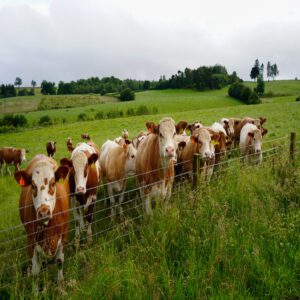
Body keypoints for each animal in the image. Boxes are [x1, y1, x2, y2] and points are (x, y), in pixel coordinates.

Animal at [14, 155, 69, 284]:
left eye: (53, 183)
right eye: (33, 186)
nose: (44, 212)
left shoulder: (64, 234)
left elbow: (60, 261)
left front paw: (61, 283)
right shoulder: (30, 240)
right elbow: (35, 272)